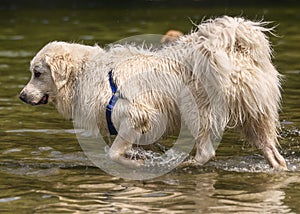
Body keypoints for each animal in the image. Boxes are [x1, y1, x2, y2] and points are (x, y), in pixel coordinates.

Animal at [19, 16, 288, 171]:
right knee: (273, 153)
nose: (21, 96)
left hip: (195, 110)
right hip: (254, 116)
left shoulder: (136, 114)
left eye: (37, 73)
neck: (84, 72)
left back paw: (182, 164)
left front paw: (137, 163)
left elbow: (115, 154)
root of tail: (237, 52)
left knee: (205, 153)